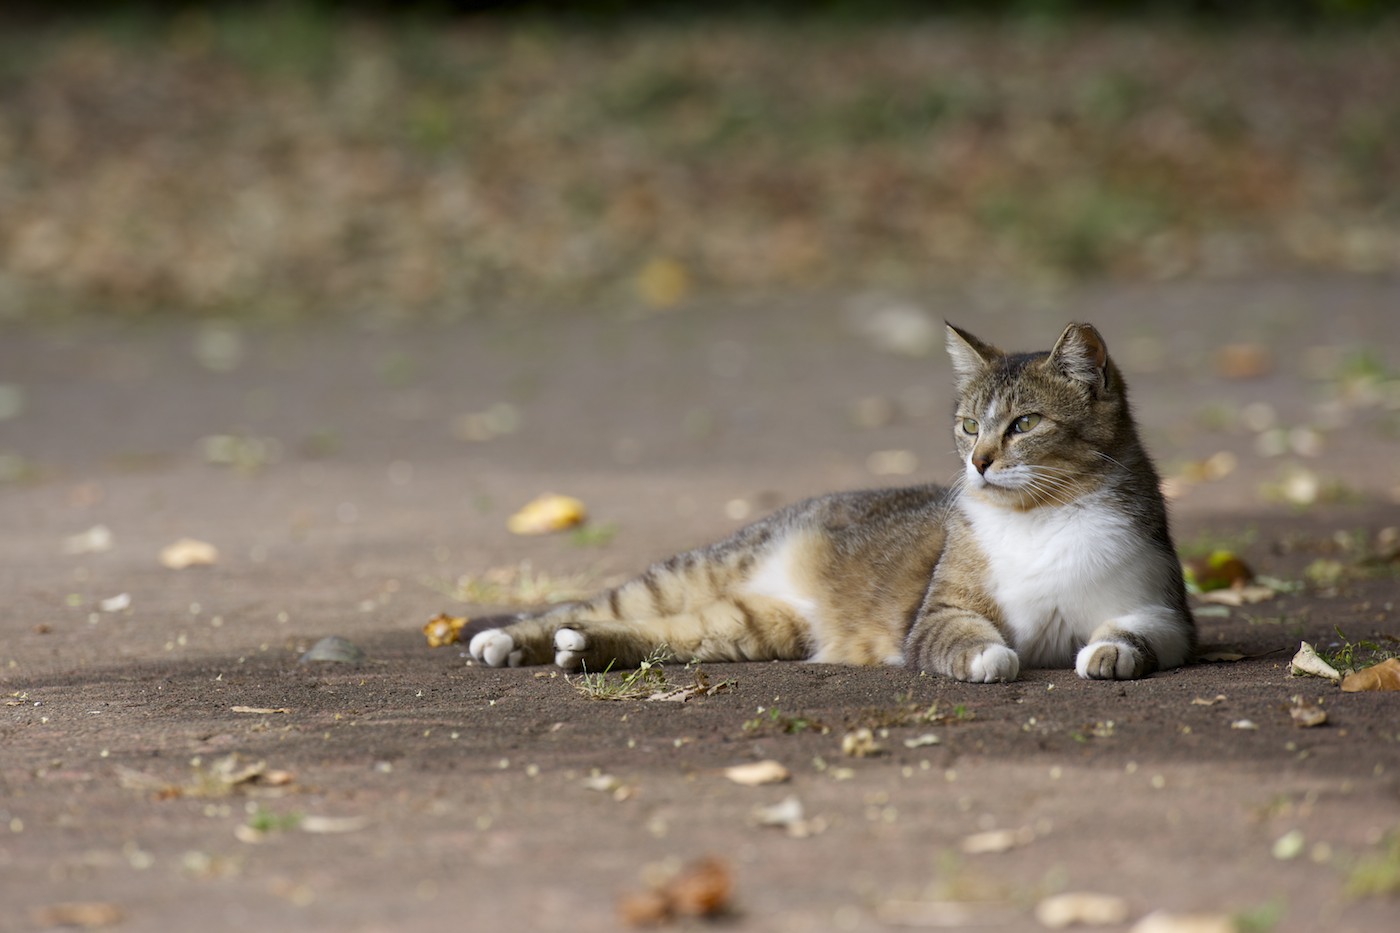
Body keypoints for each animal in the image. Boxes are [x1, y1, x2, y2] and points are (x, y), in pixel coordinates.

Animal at [467, 323, 1192, 680]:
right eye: (967, 425)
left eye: (1024, 423)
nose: (978, 462)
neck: (1040, 516)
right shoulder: (939, 613)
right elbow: (967, 636)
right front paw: (991, 657)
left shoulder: (1164, 612)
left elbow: (1136, 634)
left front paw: (1109, 653)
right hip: (691, 574)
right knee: (584, 607)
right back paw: (508, 640)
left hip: (749, 627)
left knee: (654, 634)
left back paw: (579, 649)